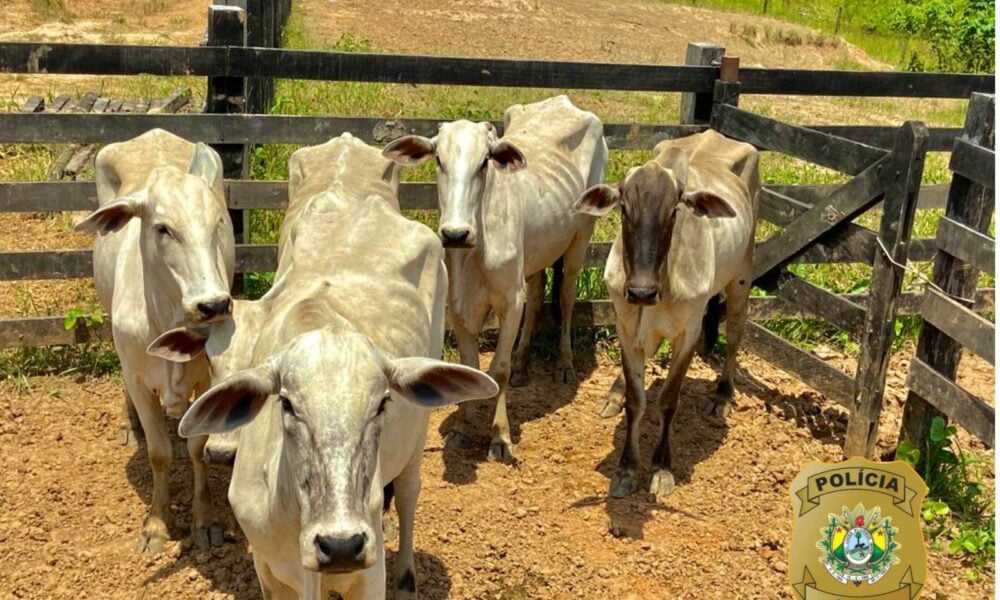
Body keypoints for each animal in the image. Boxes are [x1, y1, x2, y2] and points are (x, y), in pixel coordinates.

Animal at [75, 129, 235, 552]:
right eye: (163, 228)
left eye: (218, 223)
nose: (213, 304)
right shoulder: (137, 376)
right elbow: (159, 453)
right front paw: (157, 524)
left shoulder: (208, 378)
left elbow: (197, 447)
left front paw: (205, 521)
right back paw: (129, 425)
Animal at [153, 177, 498, 599]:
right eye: (286, 404)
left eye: (382, 403)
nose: (341, 544)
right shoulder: (268, 571)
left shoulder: (369, 575)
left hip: (415, 439)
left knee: (408, 495)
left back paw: (406, 578)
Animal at [382, 95, 607, 461]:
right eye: (439, 160)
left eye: (484, 162)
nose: (455, 233)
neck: (476, 251)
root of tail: (563, 101)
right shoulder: (459, 306)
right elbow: (470, 365)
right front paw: (462, 428)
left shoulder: (509, 301)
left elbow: (498, 369)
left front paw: (500, 436)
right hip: (536, 253)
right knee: (537, 293)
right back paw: (523, 364)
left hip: (581, 237)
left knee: (565, 297)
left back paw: (564, 363)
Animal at [573, 129, 759, 499]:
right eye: (624, 208)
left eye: (674, 211)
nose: (641, 291)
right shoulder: (626, 325)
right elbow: (637, 400)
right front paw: (627, 468)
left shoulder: (688, 333)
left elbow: (669, 400)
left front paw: (661, 468)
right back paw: (614, 394)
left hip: (741, 279)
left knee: (734, 336)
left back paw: (723, 395)